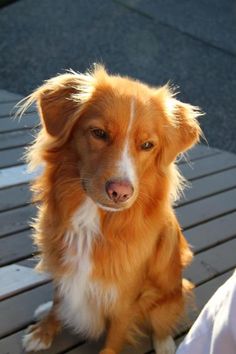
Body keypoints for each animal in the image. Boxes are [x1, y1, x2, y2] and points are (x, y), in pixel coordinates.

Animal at [20, 65, 202, 352]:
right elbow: (59, 300)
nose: (120, 192)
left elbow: (115, 336)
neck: (94, 220)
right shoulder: (63, 262)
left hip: (171, 292)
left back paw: (164, 343)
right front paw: (45, 331)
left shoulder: (127, 296)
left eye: (147, 145)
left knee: (163, 319)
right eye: (99, 133)